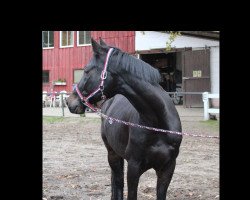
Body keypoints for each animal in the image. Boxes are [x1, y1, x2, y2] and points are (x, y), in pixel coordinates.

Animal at [66, 38, 183, 199]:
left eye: (86, 70)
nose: (69, 102)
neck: (158, 124)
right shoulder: (133, 168)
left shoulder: (167, 169)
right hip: (112, 154)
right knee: (118, 183)